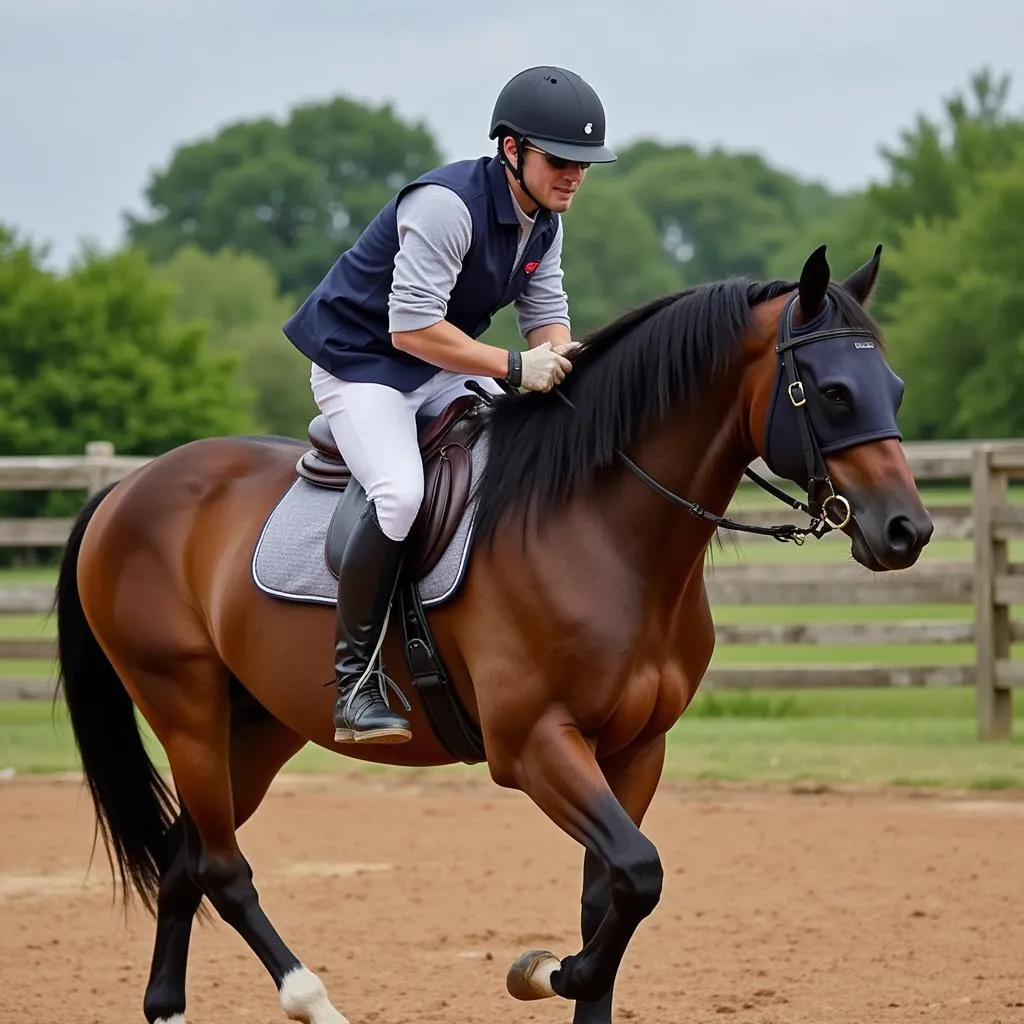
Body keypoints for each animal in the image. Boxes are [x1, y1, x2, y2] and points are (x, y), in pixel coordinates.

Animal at [51, 241, 933, 1024]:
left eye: (892, 385)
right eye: (831, 392)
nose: (908, 531)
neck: (604, 530)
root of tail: (127, 489)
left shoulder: (636, 748)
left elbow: (611, 894)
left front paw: (569, 978)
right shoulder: (534, 744)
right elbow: (638, 874)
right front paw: (548, 972)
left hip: (259, 726)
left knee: (184, 860)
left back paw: (168, 1009)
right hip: (187, 710)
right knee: (222, 868)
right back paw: (315, 1002)